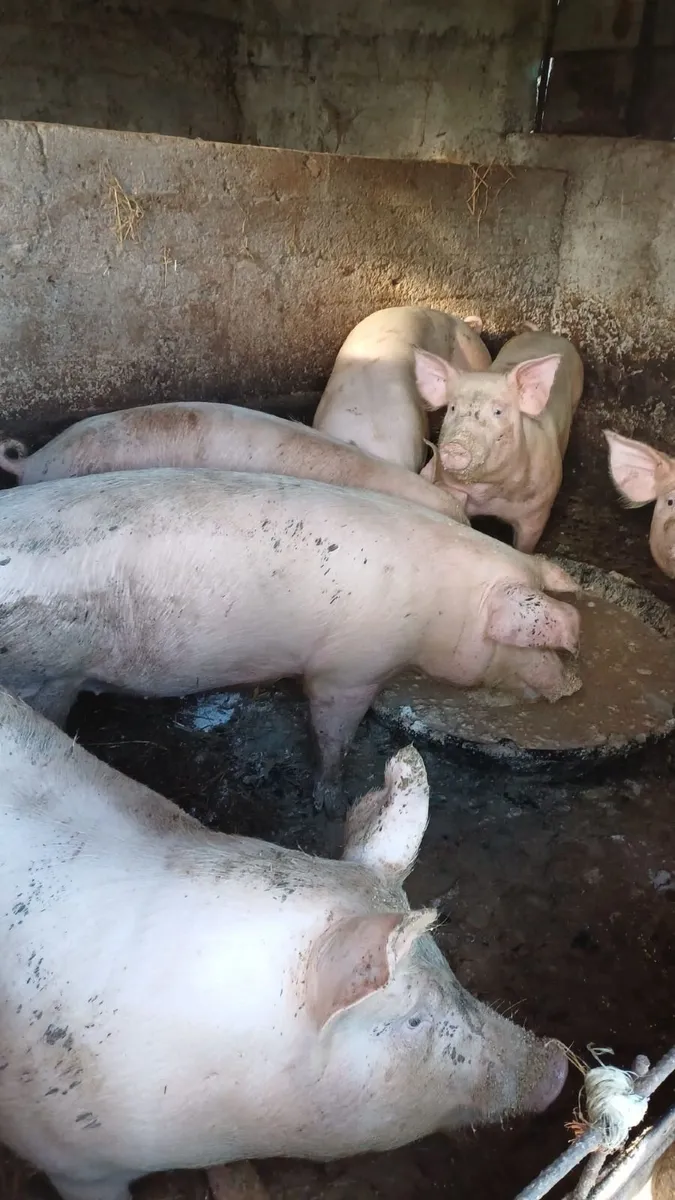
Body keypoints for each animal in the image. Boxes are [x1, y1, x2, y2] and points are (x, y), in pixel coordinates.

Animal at [0, 468, 582, 816]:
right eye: (536, 644)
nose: (571, 687)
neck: (441, 608)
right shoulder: (349, 668)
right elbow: (332, 729)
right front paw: (330, 797)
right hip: (43, 677)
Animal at [414, 330, 584, 553]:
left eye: (498, 411)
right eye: (452, 408)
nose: (456, 444)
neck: (488, 496)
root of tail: (545, 333)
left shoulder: (537, 511)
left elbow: (524, 546)